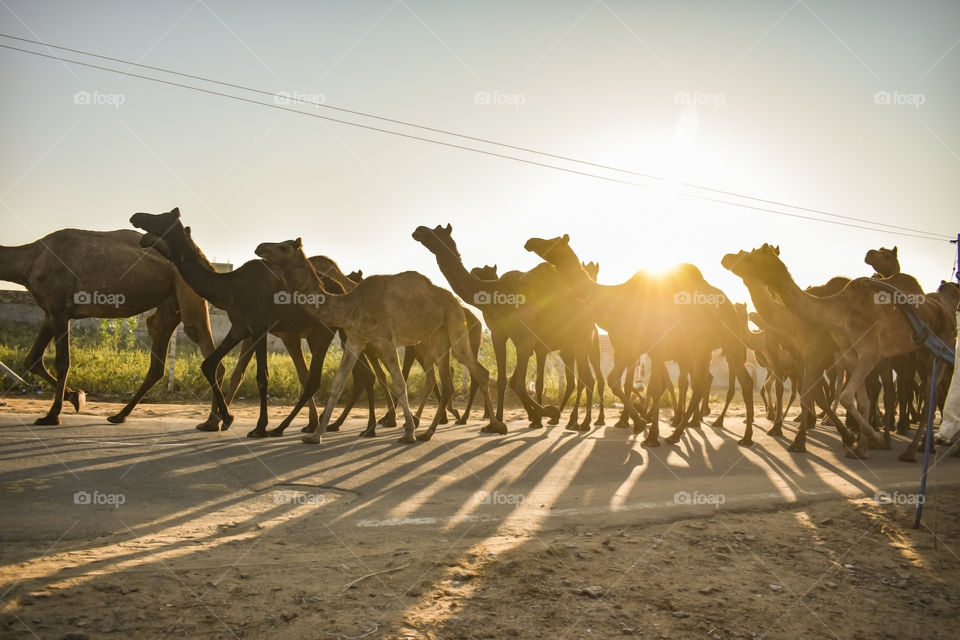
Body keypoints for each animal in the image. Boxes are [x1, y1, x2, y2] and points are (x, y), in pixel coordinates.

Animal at [0, 228, 221, 426]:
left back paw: (213, 422)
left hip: (188, 292)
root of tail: (205, 260)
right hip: (169, 304)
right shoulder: (49, 312)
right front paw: (76, 397)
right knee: (158, 350)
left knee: (200, 340)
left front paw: (54, 415)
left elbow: (62, 362)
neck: (31, 260)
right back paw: (120, 415)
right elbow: (32, 359)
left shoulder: (60, 309)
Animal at [252, 238, 505, 444]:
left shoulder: (386, 340)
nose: (260, 247)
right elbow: (337, 384)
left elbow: (399, 383)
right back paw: (429, 432)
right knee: (446, 382)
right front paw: (316, 436)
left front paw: (408, 433)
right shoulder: (355, 340)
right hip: (434, 340)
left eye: (284, 246)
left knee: (477, 371)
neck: (350, 305)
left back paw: (495, 426)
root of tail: (454, 301)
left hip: (454, 324)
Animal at [413, 224, 600, 430]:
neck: (496, 294)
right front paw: (497, 423)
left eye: (438, 230)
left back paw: (580, 422)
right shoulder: (499, 334)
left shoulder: (525, 338)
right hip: (570, 345)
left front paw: (546, 413)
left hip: (581, 338)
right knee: (582, 379)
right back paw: (573, 420)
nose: (418, 230)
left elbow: (519, 383)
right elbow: (504, 380)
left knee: (586, 379)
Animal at [524, 234, 754, 446]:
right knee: (699, 385)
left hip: (729, 343)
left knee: (739, 381)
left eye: (552, 241)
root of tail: (730, 306)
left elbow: (649, 386)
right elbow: (623, 382)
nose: (530, 242)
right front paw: (640, 423)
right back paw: (678, 433)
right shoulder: (637, 347)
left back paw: (742, 435)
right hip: (698, 350)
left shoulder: (651, 346)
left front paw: (647, 431)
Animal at [722, 244, 953, 458]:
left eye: (749, 257)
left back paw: (903, 443)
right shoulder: (807, 356)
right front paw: (852, 440)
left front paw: (800, 440)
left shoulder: (817, 351)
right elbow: (821, 394)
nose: (726, 258)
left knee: (908, 392)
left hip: (916, 356)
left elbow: (814, 393)